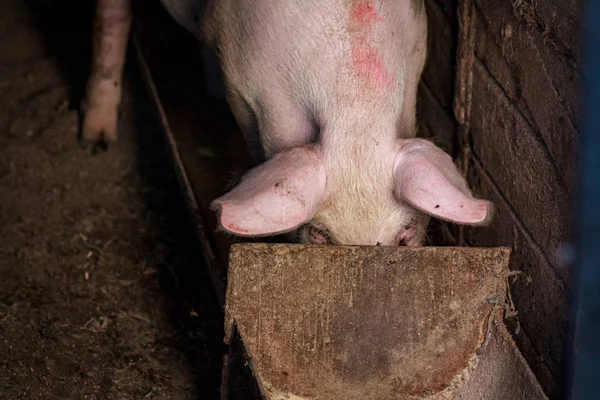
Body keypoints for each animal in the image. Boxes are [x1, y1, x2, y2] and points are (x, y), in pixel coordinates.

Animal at [82, 0, 492, 247]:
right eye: (321, 236)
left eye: (405, 234)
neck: (355, 117)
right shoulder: (244, 82)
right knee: (111, 19)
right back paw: (95, 141)